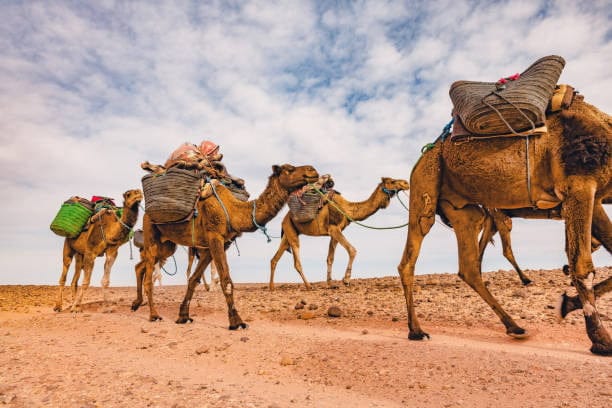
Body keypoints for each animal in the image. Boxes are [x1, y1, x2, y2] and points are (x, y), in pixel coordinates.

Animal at [131, 163, 318, 328]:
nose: (313, 171)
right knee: (148, 276)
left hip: (168, 244)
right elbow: (226, 280)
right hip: (151, 232)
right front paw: (237, 322)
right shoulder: (215, 237)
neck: (234, 211)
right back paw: (154, 315)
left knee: (141, 266)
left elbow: (194, 279)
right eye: (289, 169)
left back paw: (136, 303)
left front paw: (183, 316)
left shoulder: (216, 245)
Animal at [268, 178, 408, 290]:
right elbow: (352, 250)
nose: (406, 183)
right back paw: (309, 286)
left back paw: (272, 287)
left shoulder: (334, 232)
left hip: (288, 232)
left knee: (275, 258)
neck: (348, 209)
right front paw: (346, 280)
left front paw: (331, 284)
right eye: (392, 181)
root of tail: (285, 218)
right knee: (296, 261)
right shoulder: (334, 229)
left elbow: (330, 258)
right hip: (291, 230)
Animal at [396, 95, 612, 354]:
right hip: (425, 186)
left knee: (469, 266)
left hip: (464, 210)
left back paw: (514, 326)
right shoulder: (579, 184)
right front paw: (600, 339)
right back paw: (416, 331)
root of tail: (424, 154)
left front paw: (568, 303)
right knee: (410, 258)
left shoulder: (595, 197)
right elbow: (581, 263)